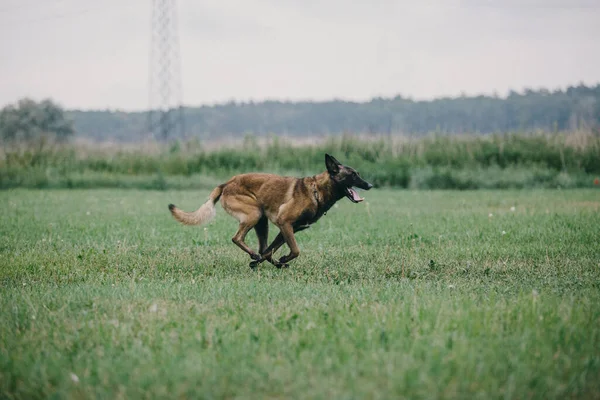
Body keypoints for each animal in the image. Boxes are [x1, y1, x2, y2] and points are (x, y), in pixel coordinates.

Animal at [169, 153, 372, 268]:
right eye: (353, 175)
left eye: (358, 174)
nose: (370, 185)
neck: (316, 191)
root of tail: (226, 183)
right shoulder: (285, 223)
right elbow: (295, 250)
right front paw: (278, 260)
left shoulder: (288, 229)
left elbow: (269, 251)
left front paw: (266, 262)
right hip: (255, 214)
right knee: (237, 238)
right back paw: (255, 255)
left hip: (262, 222)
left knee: (262, 248)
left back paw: (263, 260)